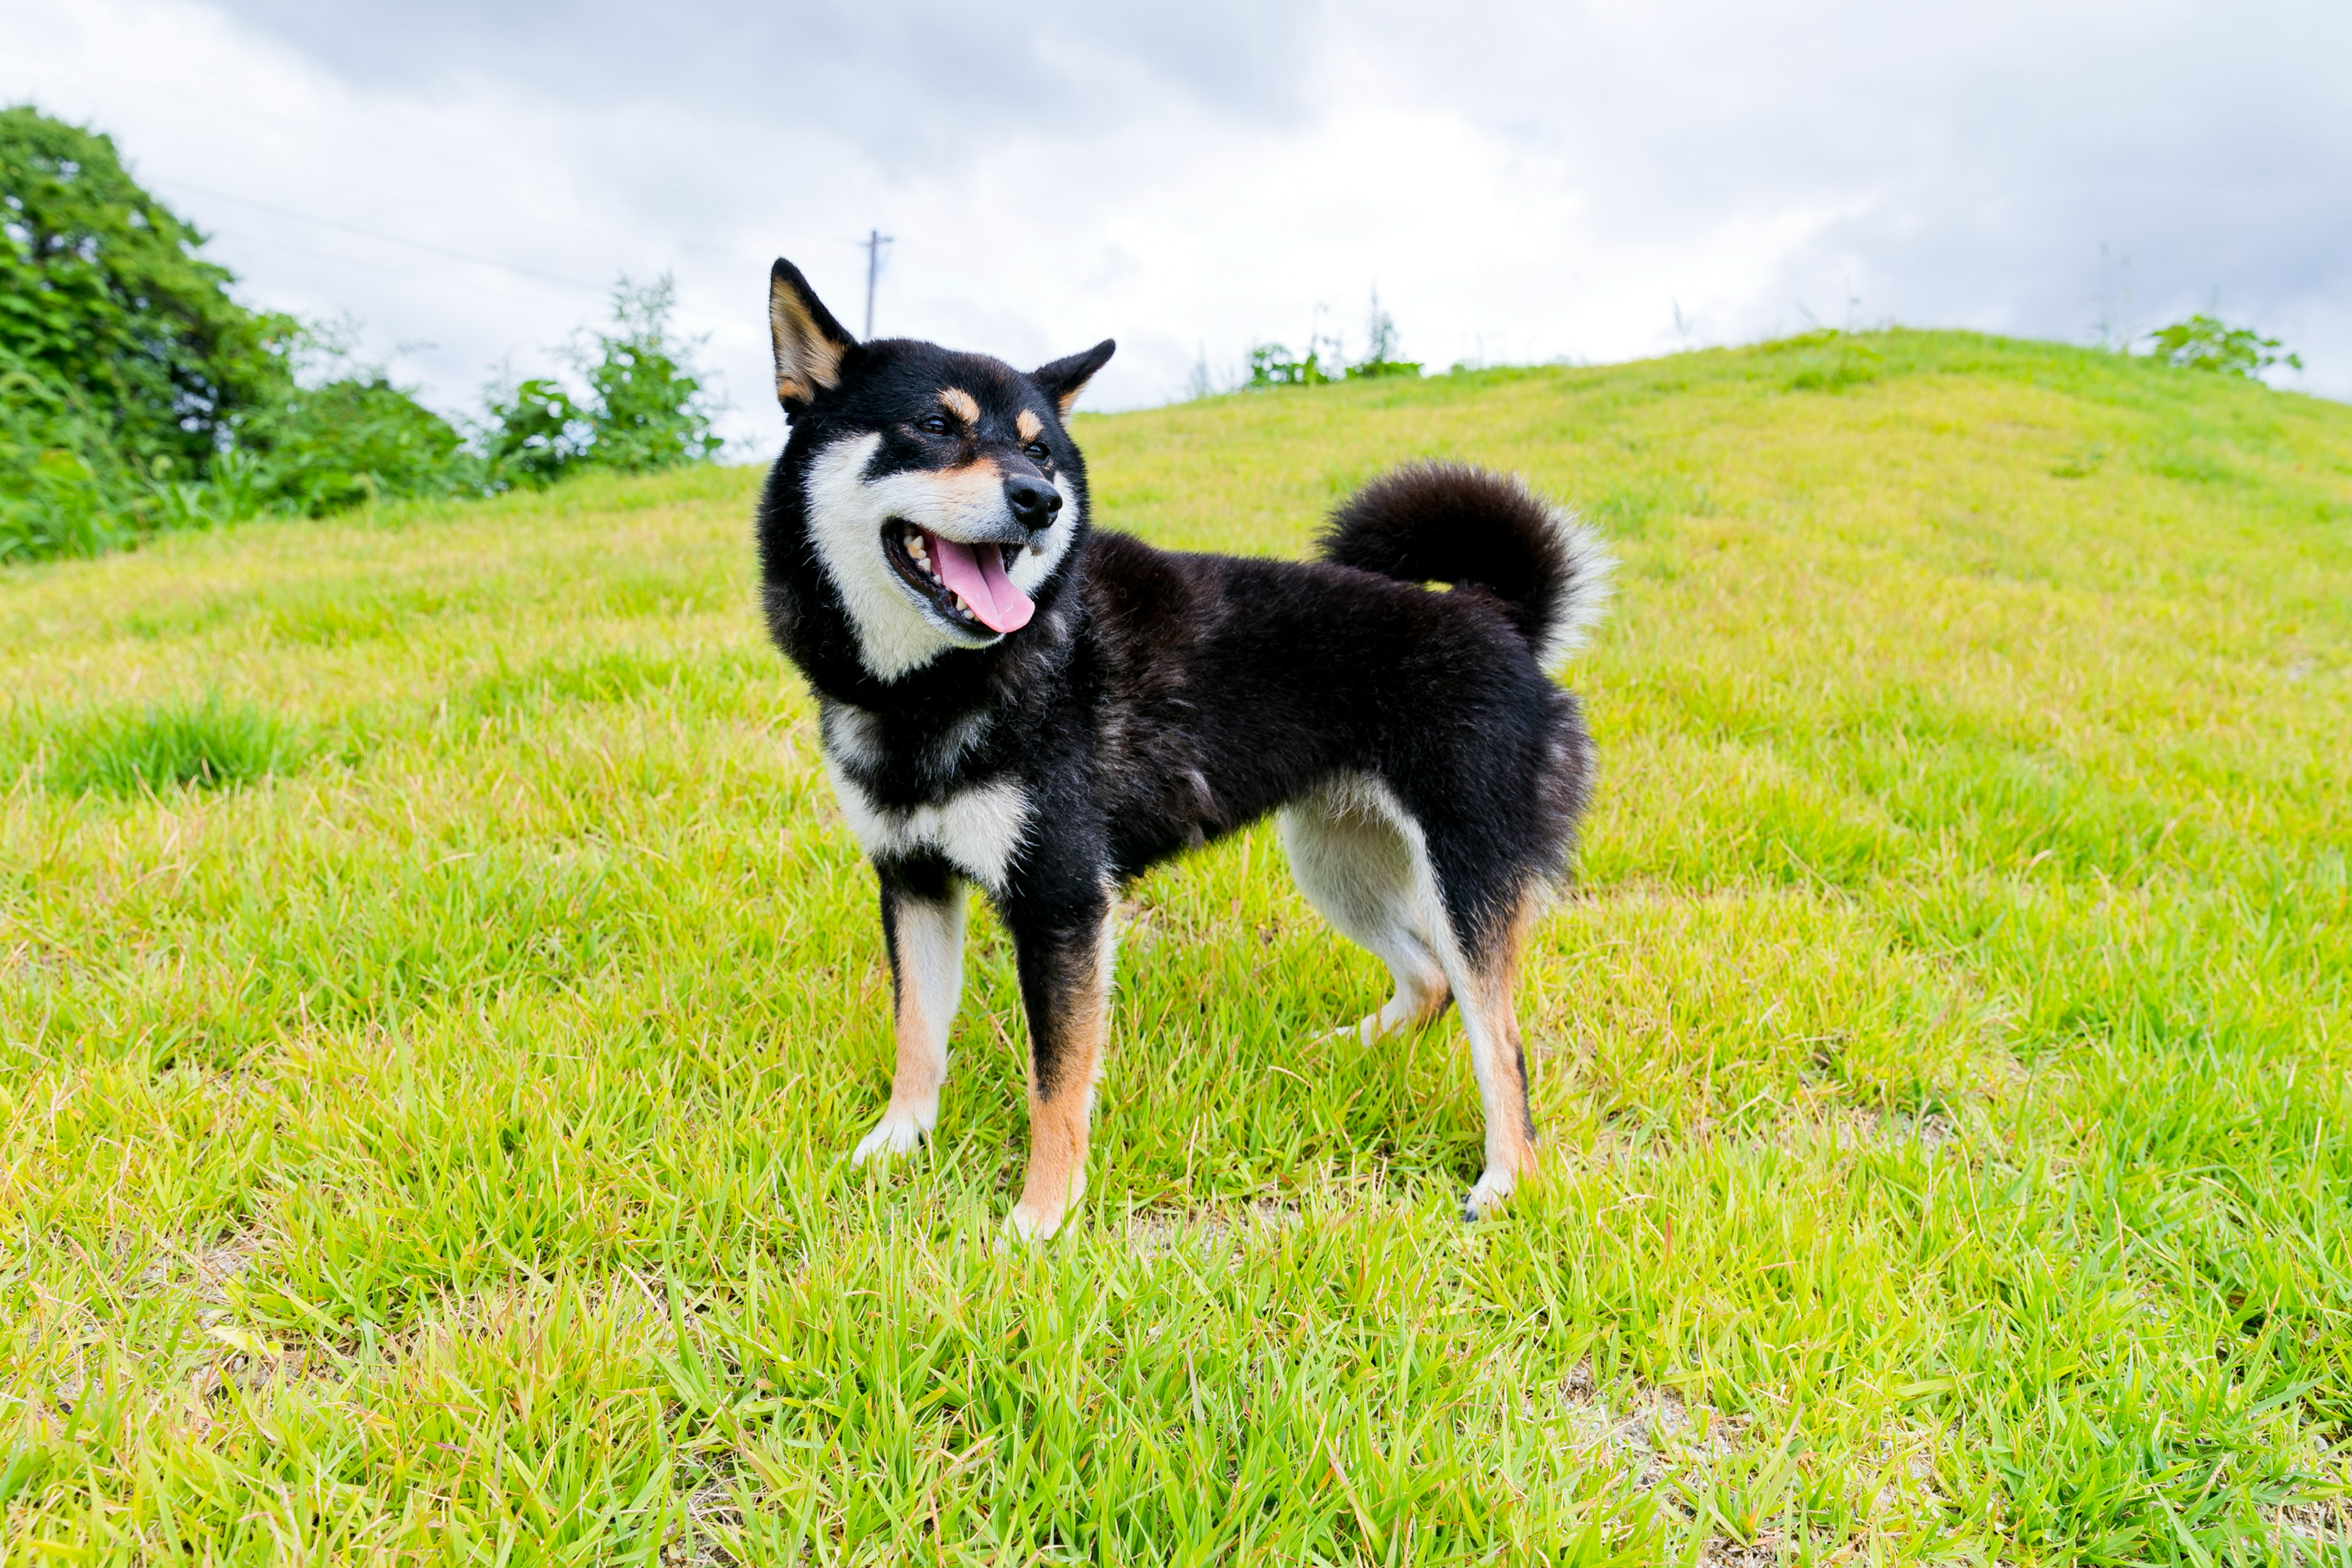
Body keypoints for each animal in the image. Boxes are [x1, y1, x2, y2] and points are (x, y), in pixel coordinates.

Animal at [762, 257, 1608, 1241]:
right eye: (936, 427)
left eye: (1041, 452)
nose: (1041, 503)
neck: (930, 689)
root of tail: (1499, 618)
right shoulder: (912, 879)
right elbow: (917, 1037)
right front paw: (894, 1145)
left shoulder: (1061, 898)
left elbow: (1057, 1085)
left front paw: (1039, 1221)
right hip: (1335, 861)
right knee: (1429, 982)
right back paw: (1344, 1052)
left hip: (1463, 878)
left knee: (1499, 1045)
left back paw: (1505, 1182)